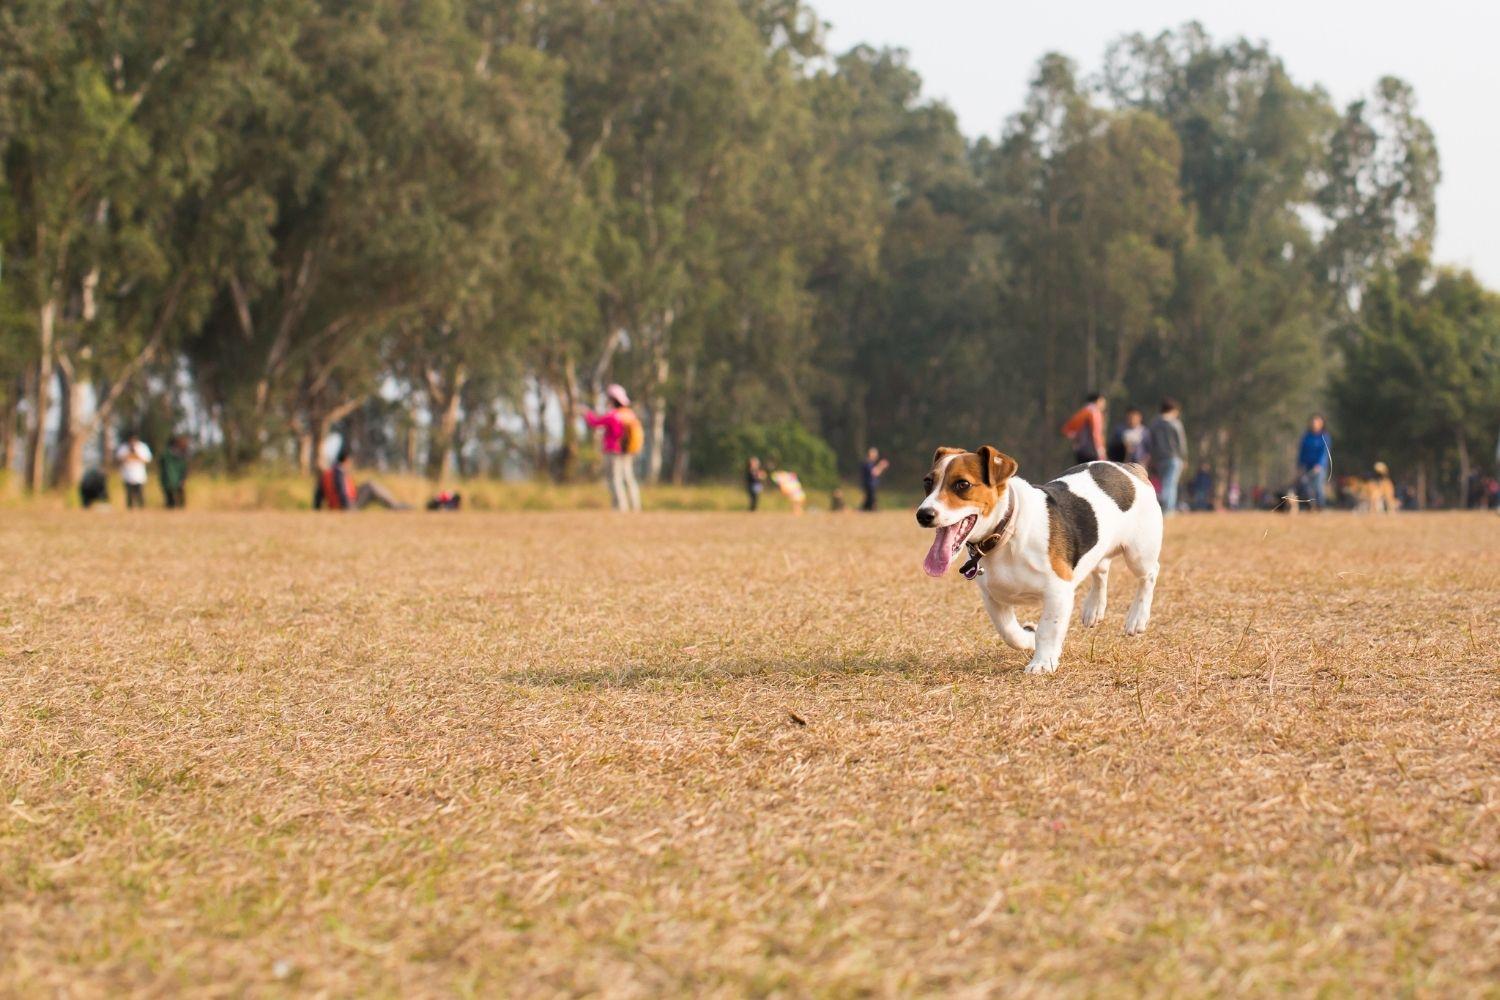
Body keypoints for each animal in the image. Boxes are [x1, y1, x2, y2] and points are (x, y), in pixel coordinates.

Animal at [912, 449, 1158, 677]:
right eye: (927, 482)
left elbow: (1048, 630)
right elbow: (1008, 632)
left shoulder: (1058, 592)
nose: (923, 514)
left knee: (1149, 576)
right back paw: (1094, 609)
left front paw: (1042, 663)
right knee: (1101, 571)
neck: (1007, 531)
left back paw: (1137, 618)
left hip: (1139, 554)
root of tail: (1130, 467)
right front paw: (1028, 637)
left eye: (962, 484)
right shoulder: (993, 597)